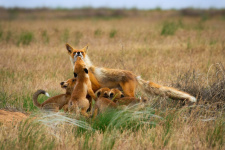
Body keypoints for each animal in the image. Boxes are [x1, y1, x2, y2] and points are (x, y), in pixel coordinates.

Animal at [65, 43, 197, 103]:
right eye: (75, 52)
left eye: (82, 52)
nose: (78, 53)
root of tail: (134, 75)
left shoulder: (95, 86)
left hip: (128, 93)